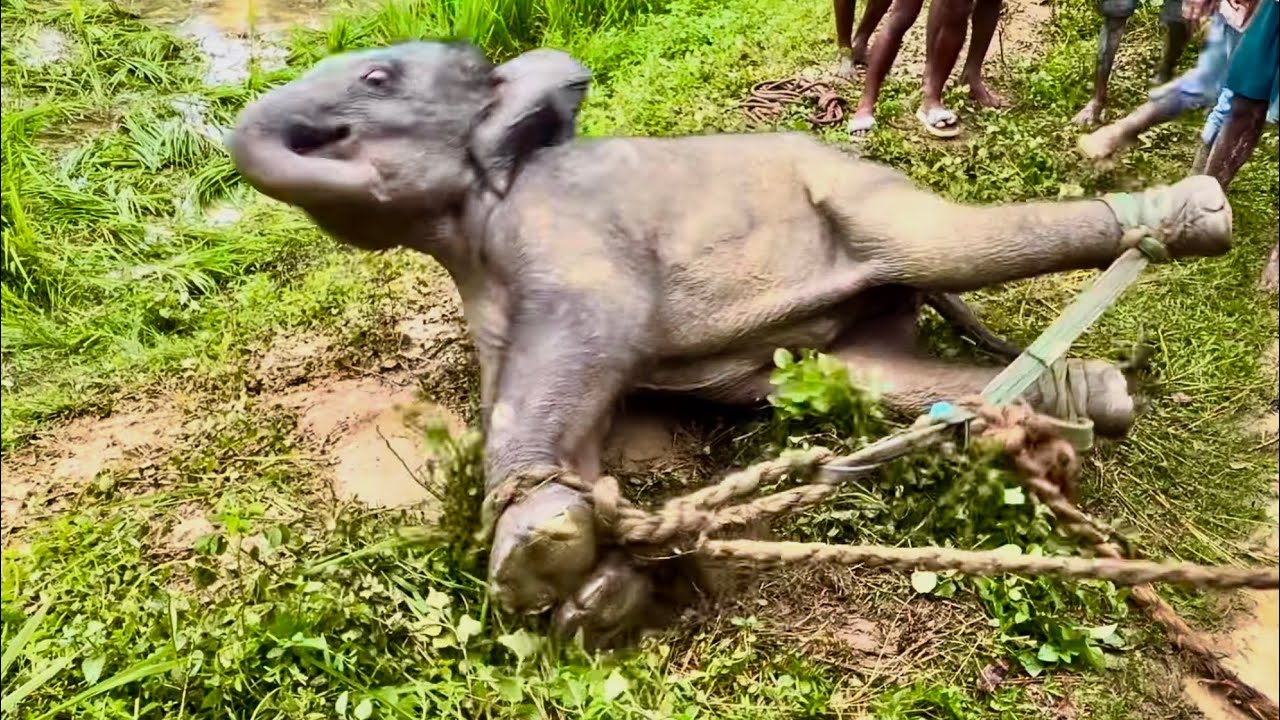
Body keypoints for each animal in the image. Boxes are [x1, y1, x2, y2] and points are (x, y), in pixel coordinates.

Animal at [227, 41, 1233, 647]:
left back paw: (1190, 213)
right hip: (846, 337)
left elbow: (587, 346)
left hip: (862, 198)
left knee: (944, 243)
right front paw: (598, 590)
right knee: (874, 373)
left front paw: (539, 552)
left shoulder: (564, 228)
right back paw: (1090, 401)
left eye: (376, 81)